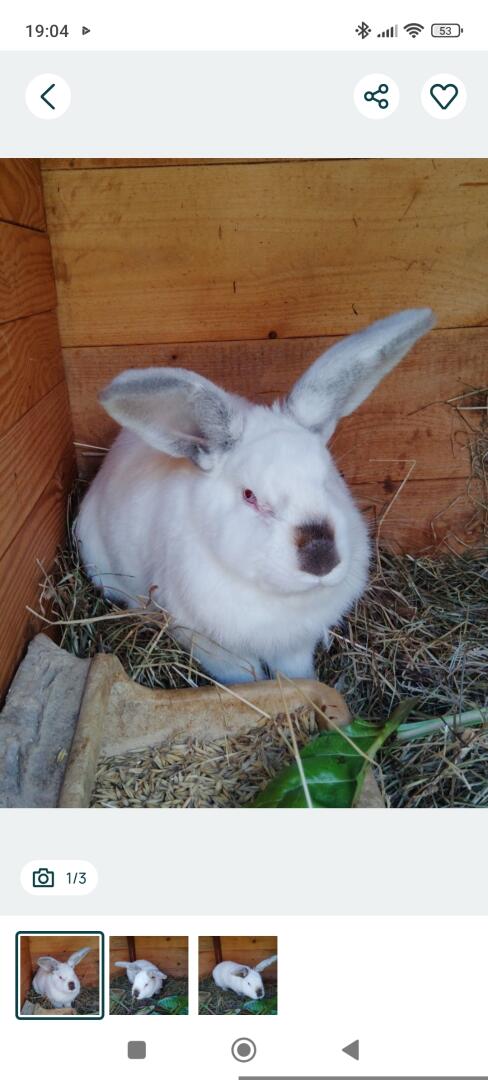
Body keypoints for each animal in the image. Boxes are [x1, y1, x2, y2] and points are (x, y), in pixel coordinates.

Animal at [76, 308, 435, 685]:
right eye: (250, 495)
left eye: (328, 478)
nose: (321, 557)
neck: (278, 597)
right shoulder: (211, 645)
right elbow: (244, 678)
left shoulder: (295, 647)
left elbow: (295, 673)